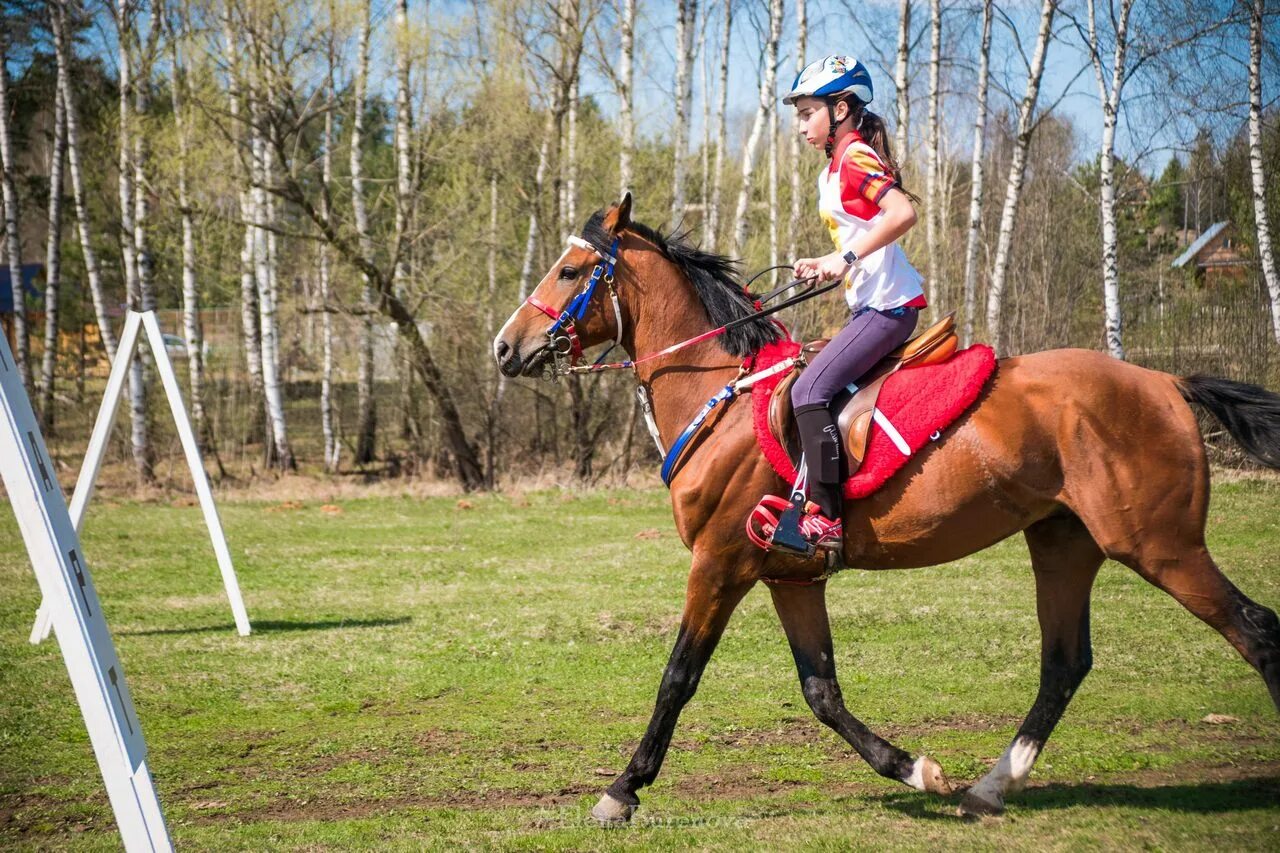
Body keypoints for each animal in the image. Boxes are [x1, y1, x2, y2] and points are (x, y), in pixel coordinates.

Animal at [491, 192, 1280, 819]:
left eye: (569, 272)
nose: (504, 347)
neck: (722, 393)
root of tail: (1166, 382)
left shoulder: (720, 563)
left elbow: (678, 678)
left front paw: (622, 790)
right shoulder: (788, 577)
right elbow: (821, 691)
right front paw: (916, 770)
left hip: (1159, 545)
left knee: (1256, 631)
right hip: (1064, 542)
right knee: (1064, 663)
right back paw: (988, 788)